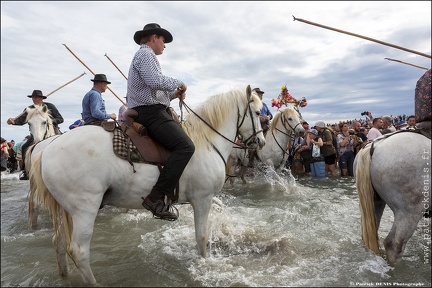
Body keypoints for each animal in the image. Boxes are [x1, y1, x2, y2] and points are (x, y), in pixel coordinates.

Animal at [27, 85, 266, 284]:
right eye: (256, 113)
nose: (261, 142)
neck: (206, 143)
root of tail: (46, 149)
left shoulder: (204, 199)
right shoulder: (202, 199)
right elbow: (202, 238)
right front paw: (204, 262)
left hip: (63, 209)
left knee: (58, 242)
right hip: (84, 209)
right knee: (79, 251)